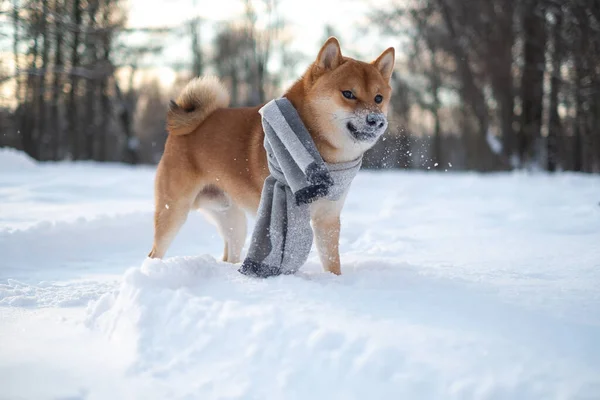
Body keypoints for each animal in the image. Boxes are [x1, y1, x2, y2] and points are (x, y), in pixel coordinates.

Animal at [149, 37, 394, 276]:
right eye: (348, 94)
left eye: (378, 98)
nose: (376, 121)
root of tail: (184, 126)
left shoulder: (327, 218)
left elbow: (332, 262)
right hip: (174, 211)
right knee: (155, 252)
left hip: (233, 219)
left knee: (230, 254)